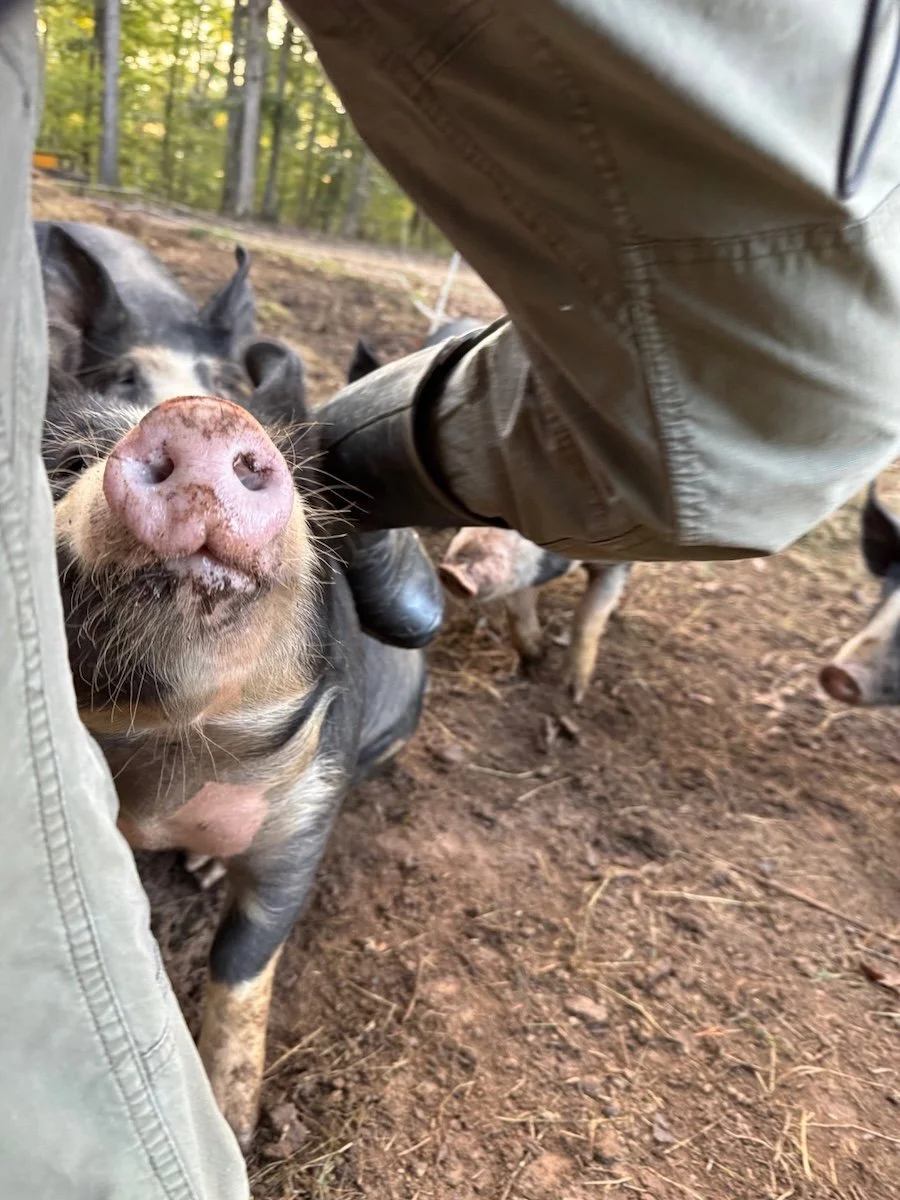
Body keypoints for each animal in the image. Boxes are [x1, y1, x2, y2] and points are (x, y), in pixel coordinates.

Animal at [43, 337, 427, 1150]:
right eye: (66, 460)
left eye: (310, 495)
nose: (206, 417)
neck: (172, 749)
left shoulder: (308, 810)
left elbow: (245, 957)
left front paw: (236, 1126)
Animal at [439, 528, 631, 704]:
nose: (451, 572)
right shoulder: (524, 577)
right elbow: (519, 612)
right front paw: (535, 667)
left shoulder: (619, 563)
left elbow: (588, 618)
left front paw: (572, 694)